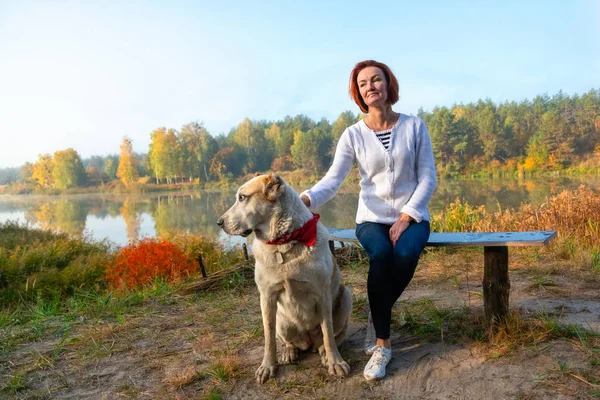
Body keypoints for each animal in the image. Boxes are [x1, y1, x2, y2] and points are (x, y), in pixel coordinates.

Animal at [219, 173, 352, 382]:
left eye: (242, 197)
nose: (219, 222)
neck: (284, 243)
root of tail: (309, 342)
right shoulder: (266, 298)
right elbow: (268, 337)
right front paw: (268, 366)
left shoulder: (323, 296)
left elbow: (328, 333)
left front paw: (335, 362)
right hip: (282, 320)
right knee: (288, 341)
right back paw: (289, 351)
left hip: (346, 296)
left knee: (333, 337)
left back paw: (323, 352)